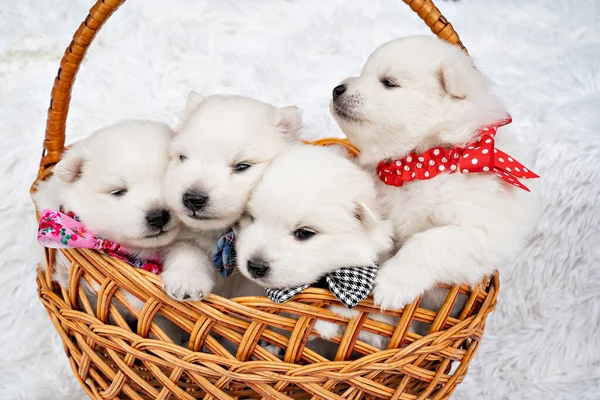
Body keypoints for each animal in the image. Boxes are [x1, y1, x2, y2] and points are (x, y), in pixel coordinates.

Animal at [161, 93, 302, 300]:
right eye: (182, 157)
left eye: (242, 166)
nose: (193, 198)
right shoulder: (188, 237)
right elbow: (188, 250)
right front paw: (186, 282)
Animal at [330, 36, 540, 310]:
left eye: (388, 82)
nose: (337, 89)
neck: (420, 164)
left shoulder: (481, 231)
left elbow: (430, 240)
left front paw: (392, 283)